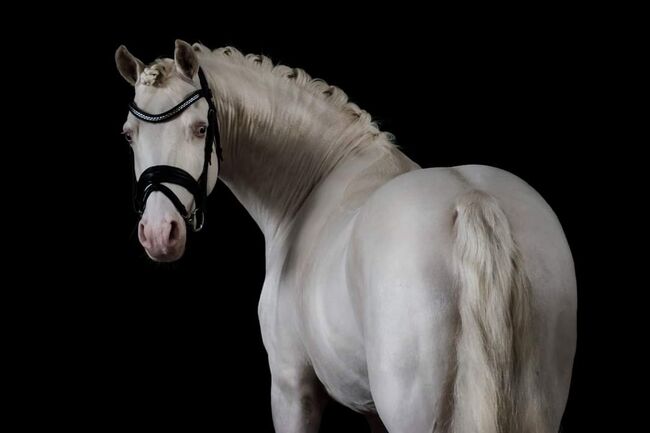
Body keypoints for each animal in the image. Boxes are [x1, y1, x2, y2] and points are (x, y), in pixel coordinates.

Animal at [115, 40, 572, 432]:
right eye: (128, 134)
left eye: (198, 128)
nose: (159, 234)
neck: (319, 180)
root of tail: (473, 200)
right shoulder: (368, 408)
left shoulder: (291, 389)